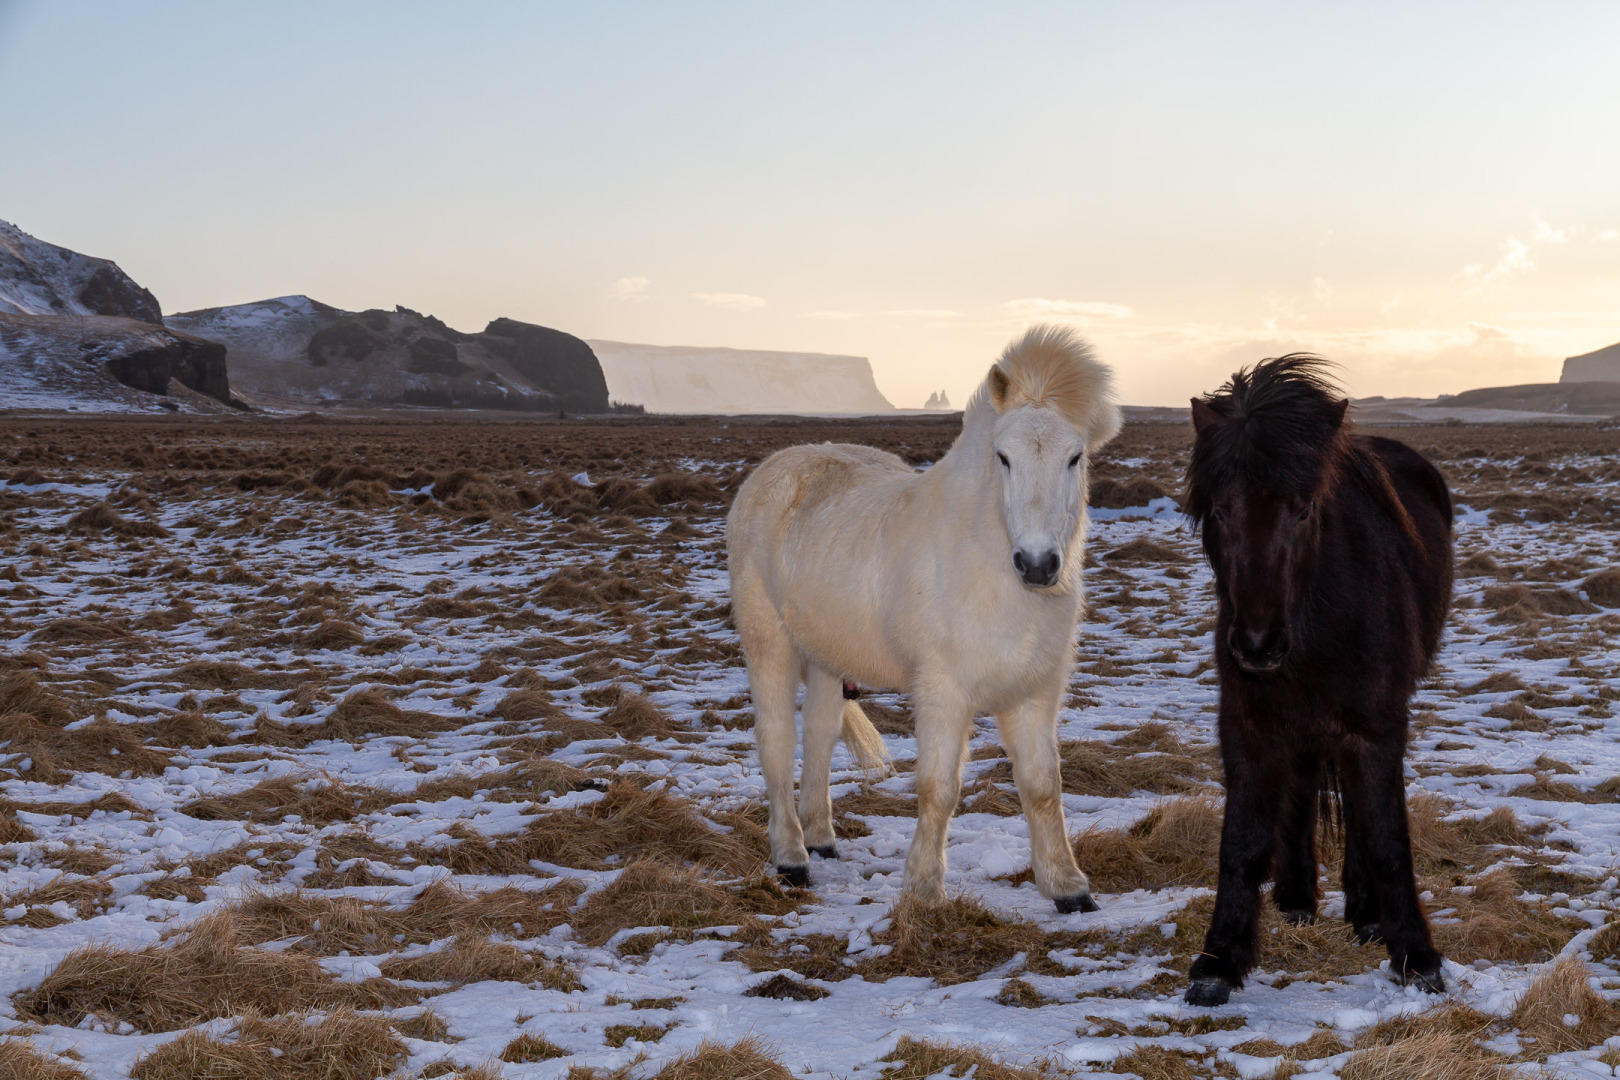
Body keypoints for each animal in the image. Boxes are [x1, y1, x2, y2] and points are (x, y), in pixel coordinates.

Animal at [726, 325, 1121, 910]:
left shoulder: (1034, 693)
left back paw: (821, 839)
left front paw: (1068, 888)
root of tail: (771, 472)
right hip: (769, 645)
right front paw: (923, 888)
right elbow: (938, 788)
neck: (983, 563)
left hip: (826, 657)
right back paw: (792, 857)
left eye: (1075, 457)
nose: (1037, 564)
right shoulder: (943, 691)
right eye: (1003, 457)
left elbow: (1043, 787)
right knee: (777, 742)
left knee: (818, 737)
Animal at [1181, 355, 1454, 1006]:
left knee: (1354, 813)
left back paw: (1366, 913)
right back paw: (1298, 898)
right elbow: (1243, 843)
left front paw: (1416, 955)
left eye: (1304, 510)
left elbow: (1385, 836)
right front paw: (1220, 958)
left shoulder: (1377, 729)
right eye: (1219, 511)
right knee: (1303, 791)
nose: (1256, 645)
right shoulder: (1248, 725)